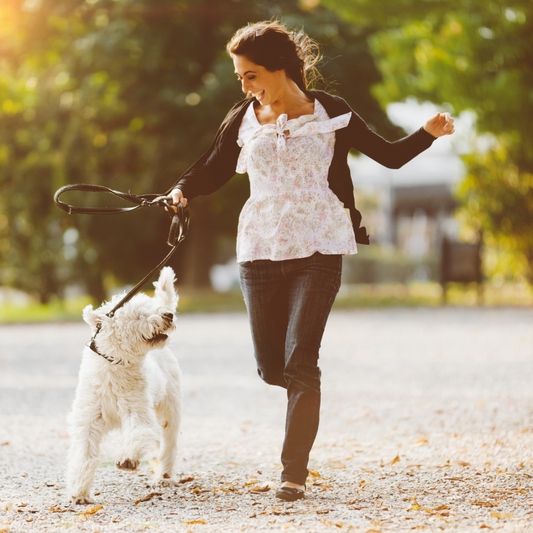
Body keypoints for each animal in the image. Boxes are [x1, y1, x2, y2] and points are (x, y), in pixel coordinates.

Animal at [66, 266, 183, 502]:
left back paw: (164, 477)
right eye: (138, 314)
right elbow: (84, 455)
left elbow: (139, 432)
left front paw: (127, 458)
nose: (168, 314)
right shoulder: (89, 420)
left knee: (168, 445)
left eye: (153, 307)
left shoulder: (137, 411)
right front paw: (79, 492)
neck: (116, 364)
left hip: (170, 410)